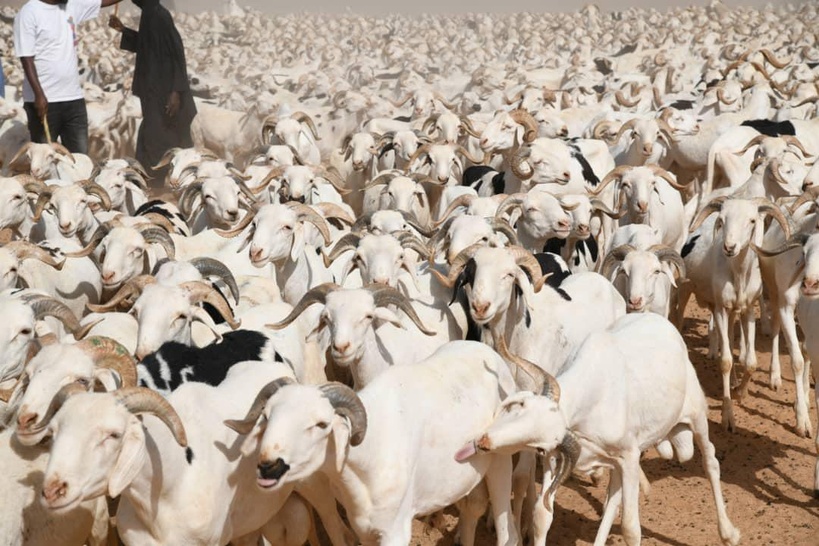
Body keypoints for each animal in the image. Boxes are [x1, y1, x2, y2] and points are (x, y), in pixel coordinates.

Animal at [459, 313, 740, 546]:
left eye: (540, 442)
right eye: (520, 406)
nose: (484, 442)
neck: (594, 392)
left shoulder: (629, 458)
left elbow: (630, 529)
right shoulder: (557, 460)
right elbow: (542, 515)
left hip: (697, 417)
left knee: (710, 461)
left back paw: (728, 533)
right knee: (614, 496)